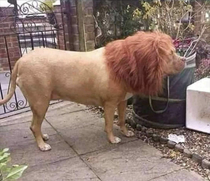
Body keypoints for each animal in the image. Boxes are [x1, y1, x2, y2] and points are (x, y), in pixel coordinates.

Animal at [0, 30, 185, 151]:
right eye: (170, 53)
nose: (184, 59)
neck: (125, 64)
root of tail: (21, 60)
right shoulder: (109, 103)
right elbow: (109, 124)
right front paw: (113, 139)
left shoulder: (122, 101)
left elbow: (122, 120)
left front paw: (126, 133)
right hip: (41, 102)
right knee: (33, 126)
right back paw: (42, 145)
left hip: (38, 103)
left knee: (35, 125)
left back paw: (43, 137)